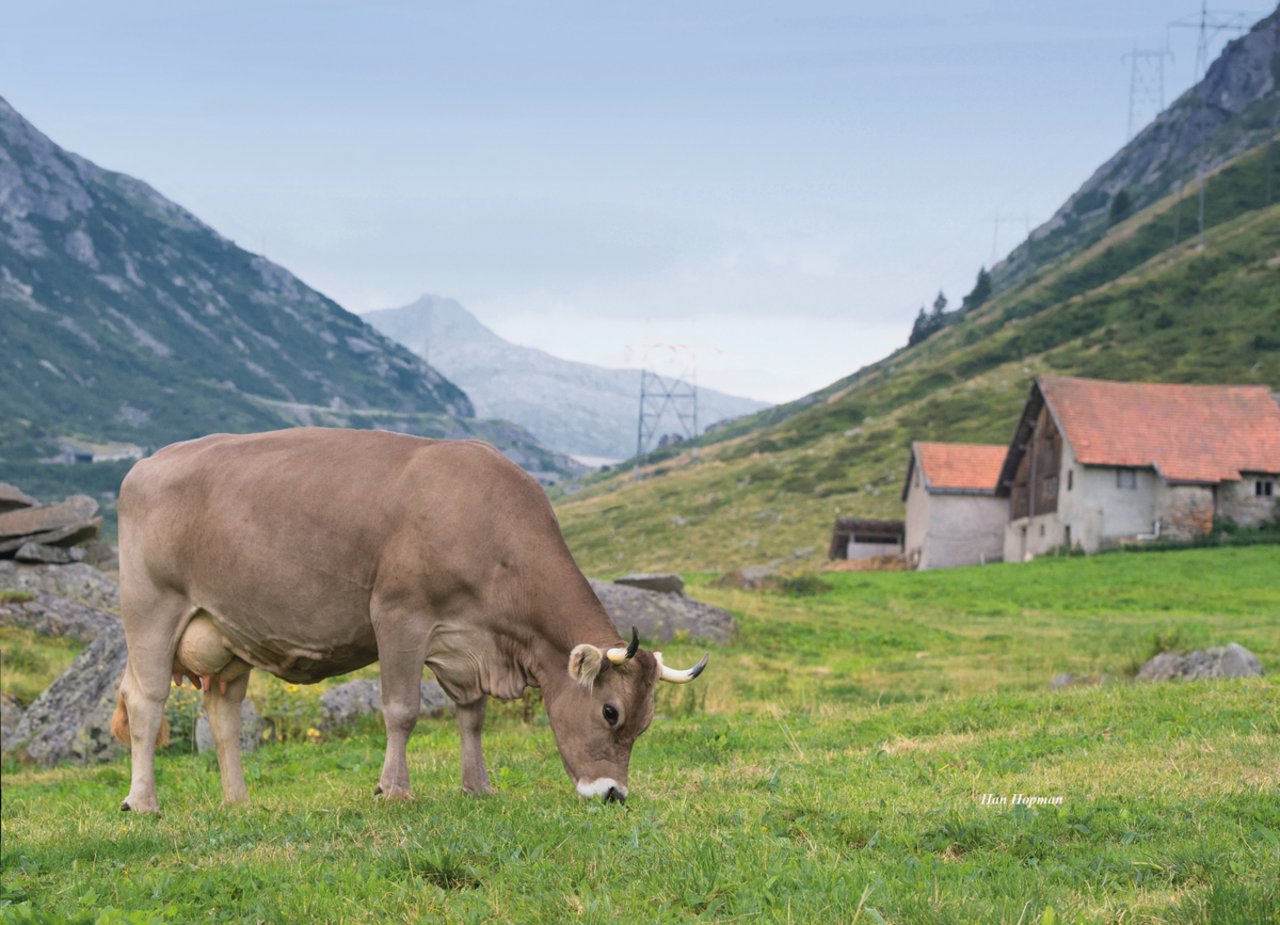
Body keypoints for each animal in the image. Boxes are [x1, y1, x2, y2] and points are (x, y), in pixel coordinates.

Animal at [110, 427, 711, 808]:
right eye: (610, 712)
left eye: (645, 722)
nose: (612, 795)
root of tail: (148, 463)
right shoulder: (399, 616)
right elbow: (401, 711)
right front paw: (393, 790)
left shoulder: (465, 641)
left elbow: (472, 716)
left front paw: (477, 786)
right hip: (151, 608)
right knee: (146, 702)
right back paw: (142, 802)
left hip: (229, 632)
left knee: (223, 713)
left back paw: (238, 801)